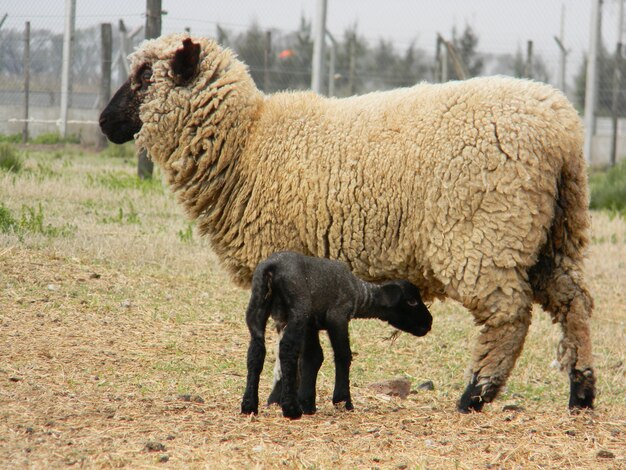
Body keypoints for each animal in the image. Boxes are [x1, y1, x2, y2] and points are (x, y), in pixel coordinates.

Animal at [98, 35, 596, 414]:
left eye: (145, 76)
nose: (104, 122)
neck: (247, 143)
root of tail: (563, 129)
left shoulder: (280, 253)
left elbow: (287, 338)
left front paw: (280, 395)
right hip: (555, 231)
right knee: (574, 303)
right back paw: (582, 393)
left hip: (485, 233)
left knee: (509, 316)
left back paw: (475, 394)